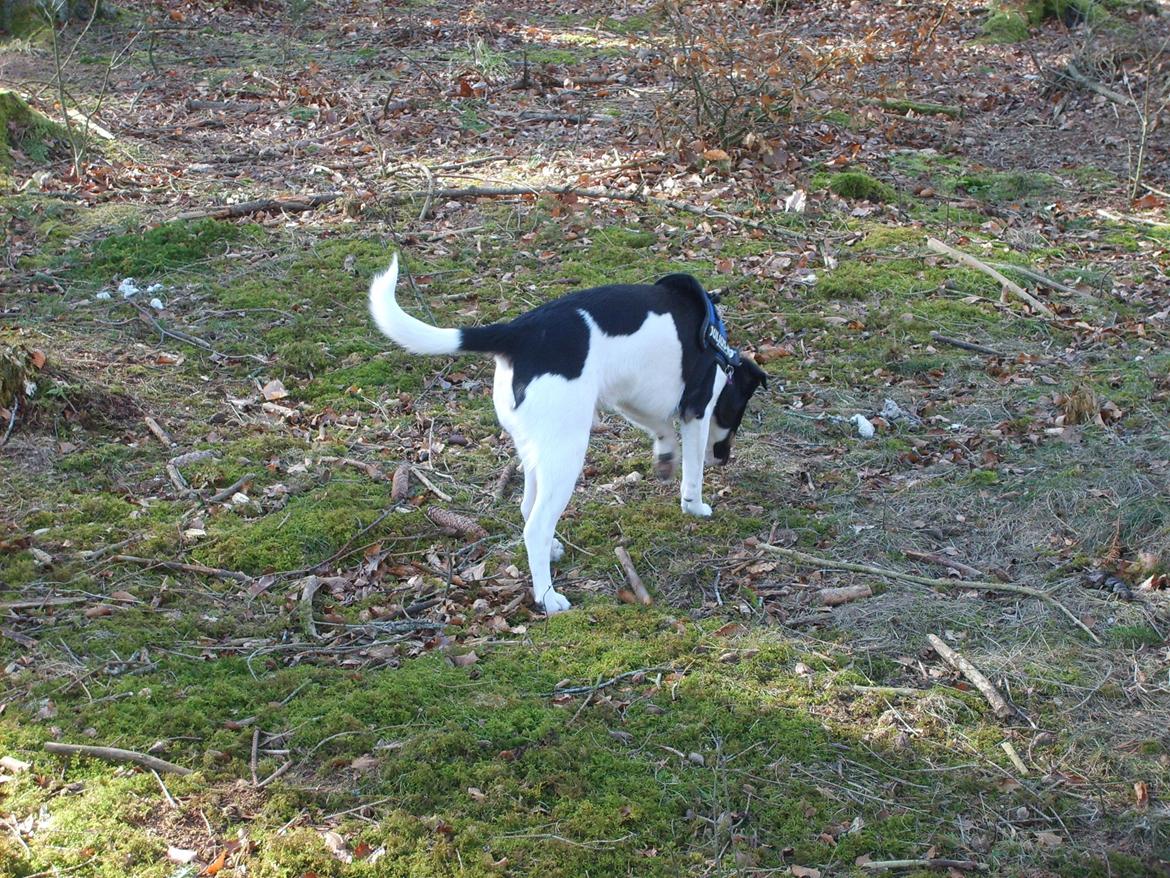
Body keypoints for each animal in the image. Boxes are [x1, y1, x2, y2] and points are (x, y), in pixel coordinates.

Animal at [367, 252, 767, 613]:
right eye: (738, 411)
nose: (723, 460)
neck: (720, 351)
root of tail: (517, 334)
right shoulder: (697, 410)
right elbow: (693, 471)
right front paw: (695, 505)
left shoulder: (629, 397)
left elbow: (660, 428)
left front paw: (666, 455)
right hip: (566, 454)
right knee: (536, 526)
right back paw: (547, 597)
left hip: (536, 450)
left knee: (527, 506)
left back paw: (553, 551)